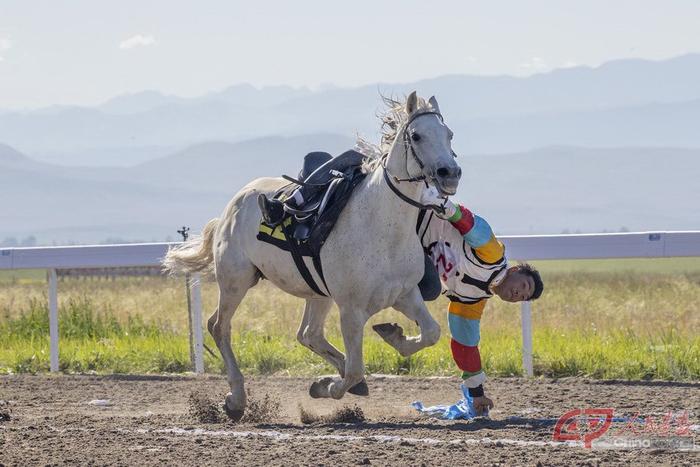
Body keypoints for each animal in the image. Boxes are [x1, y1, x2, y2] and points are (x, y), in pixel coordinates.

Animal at [163, 91, 460, 420]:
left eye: (449, 134)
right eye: (417, 135)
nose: (450, 173)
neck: (382, 225)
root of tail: (233, 205)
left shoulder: (405, 294)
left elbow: (431, 333)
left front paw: (392, 336)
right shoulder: (351, 310)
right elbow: (355, 368)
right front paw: (329, 386)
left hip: (317, 293)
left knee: (308, 334)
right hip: (235, 282)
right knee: (219, 326)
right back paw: (236, 399)